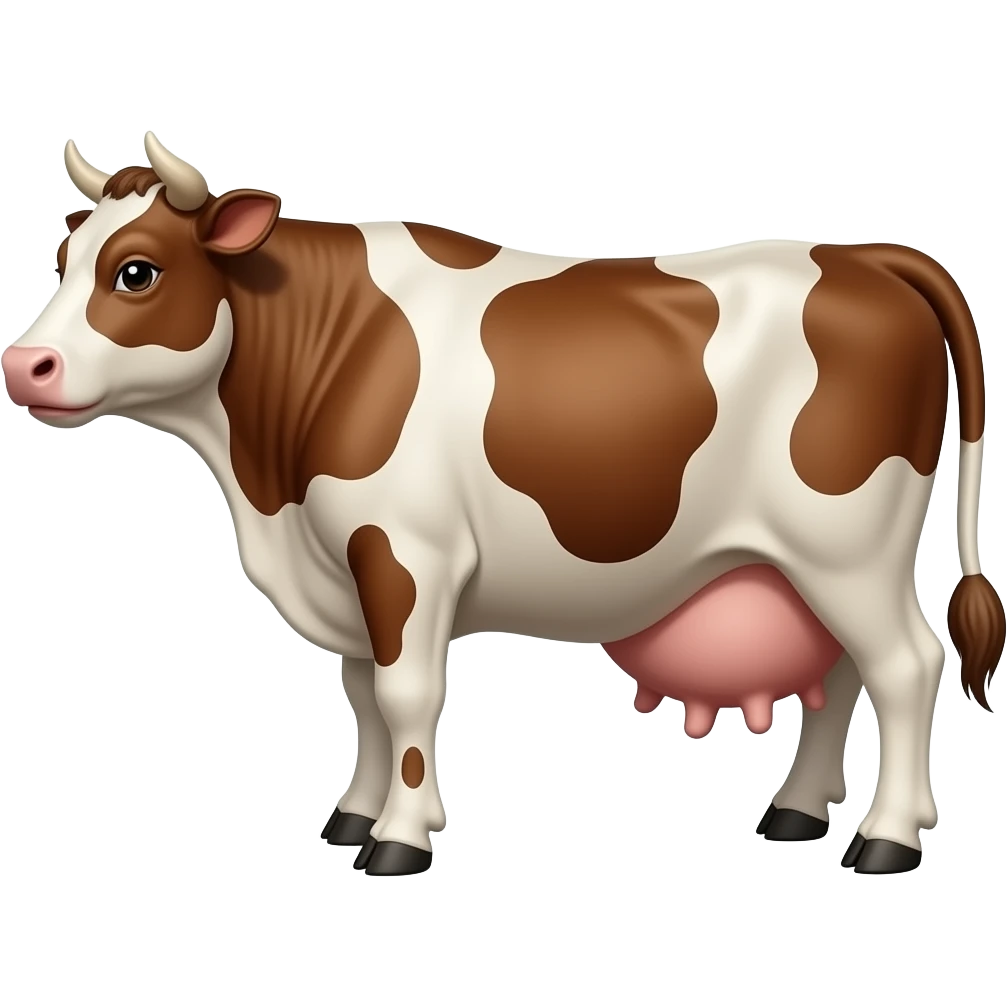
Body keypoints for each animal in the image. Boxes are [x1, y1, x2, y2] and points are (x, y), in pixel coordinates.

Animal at [3, 133, 1002, 878]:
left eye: (136, 272)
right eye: (62, 257)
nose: (24, 365)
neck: (264, 478)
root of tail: (858, 254)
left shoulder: (405, 552)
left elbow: (405, 694)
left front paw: (399, 839)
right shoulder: (346, 563)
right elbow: (361, 695)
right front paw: (352, 817)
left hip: (847, 544)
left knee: (905, 664)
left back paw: (885, 838)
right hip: (802, 560)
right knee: (841, 671)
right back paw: (795, 812)